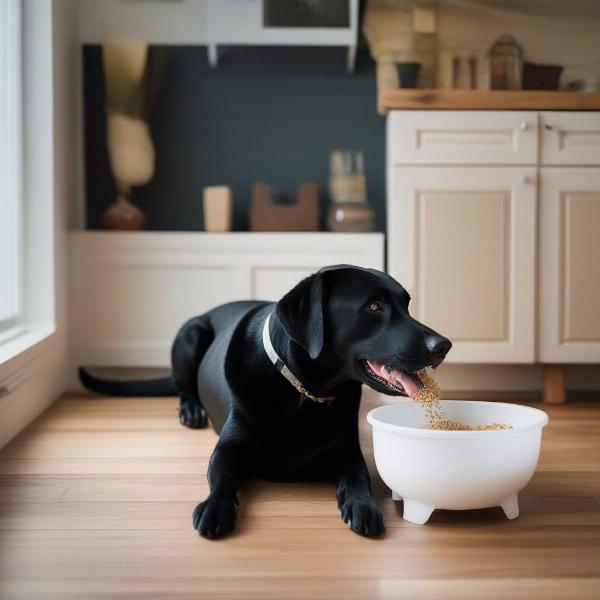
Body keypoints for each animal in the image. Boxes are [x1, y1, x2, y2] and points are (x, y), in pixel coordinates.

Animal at [82, 268, 452, 540]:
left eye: (406, 304)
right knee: (181, 387)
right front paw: (215, 508)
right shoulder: (228, 449)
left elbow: (360, 480)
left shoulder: (348, 453)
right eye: (374, 307)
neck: (304, 393)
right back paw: (191, 410)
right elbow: (221, 478)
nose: (444, 345)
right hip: (190, 335)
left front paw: (364, 507)